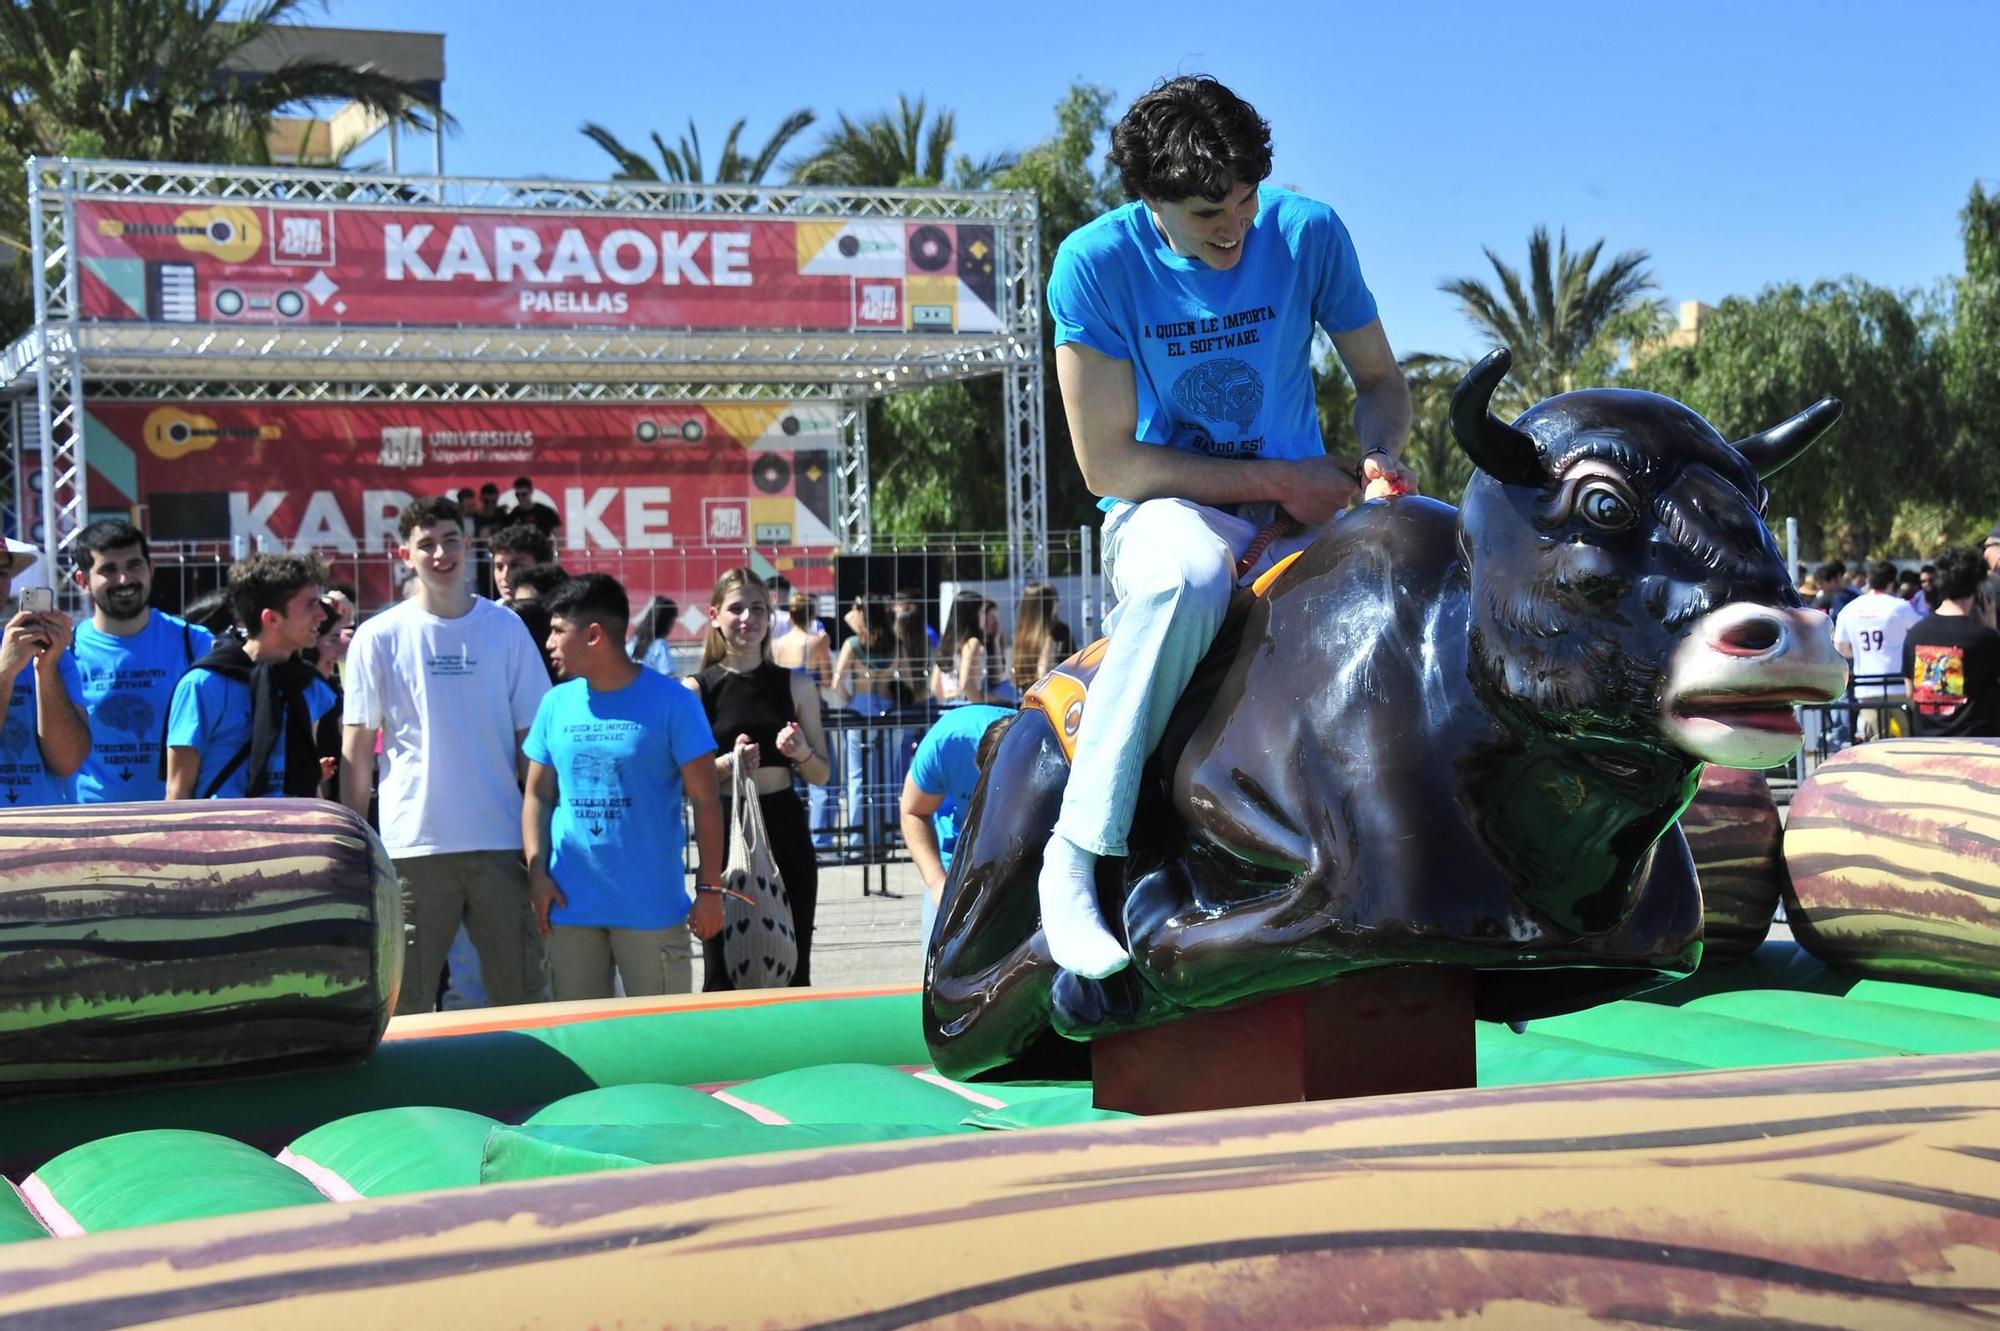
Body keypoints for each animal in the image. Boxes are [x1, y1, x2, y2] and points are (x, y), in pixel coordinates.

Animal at [928, 349, 1848, 1079]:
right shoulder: (1309, 851)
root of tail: (1005, 723)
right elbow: (1229, 933)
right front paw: (1146, 909)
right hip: (1010, 828)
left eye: (1757, 495)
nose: (1794, 632)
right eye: (1603, 503)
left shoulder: (1640, 944)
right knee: (954, 1005)